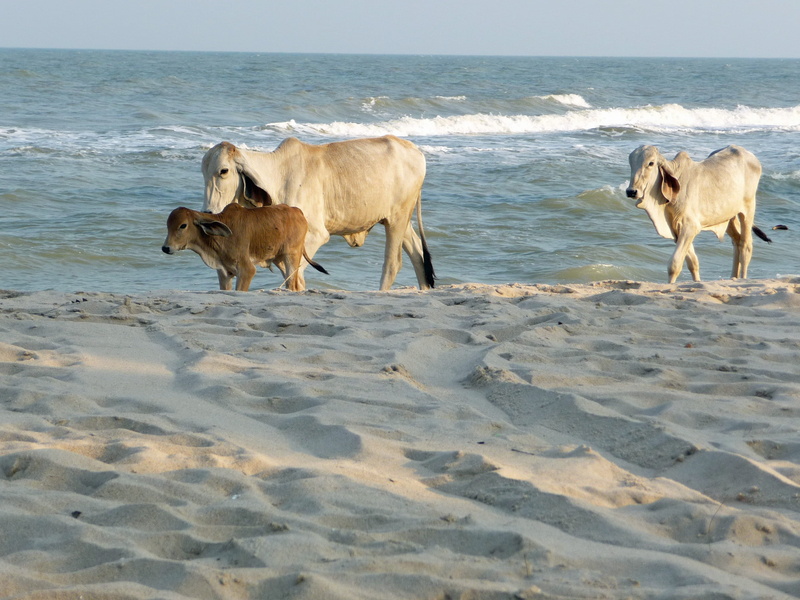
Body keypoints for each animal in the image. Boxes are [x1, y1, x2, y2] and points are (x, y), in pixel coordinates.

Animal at [162, 203, 328, 292]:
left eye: (183, 225)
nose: (165, 248)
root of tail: (297, 211)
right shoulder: (224, 273)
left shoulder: (246, 270)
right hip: (279, 260)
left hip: (291, 256)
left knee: (292, 284)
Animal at [201, 136, 435, 291]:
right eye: (203, 172)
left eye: (223, 171)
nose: (208, 211)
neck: (278, 176)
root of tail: (416, 151)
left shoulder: (314, 235)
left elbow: (294, 275)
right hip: (398, 220)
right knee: (419, 255)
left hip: (397, 218)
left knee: (392, 264)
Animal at [626, 145, 771, 283]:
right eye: (631, 162)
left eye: (651, 163)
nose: (631, 191)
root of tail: (751, 156)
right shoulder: (677, 229)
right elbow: (693, 263)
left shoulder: (690, 226)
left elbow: (675, 264)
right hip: (727, 216)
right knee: (737, 242)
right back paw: (733, 277)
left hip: (748, 209)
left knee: (746, 245)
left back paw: (742, 278)